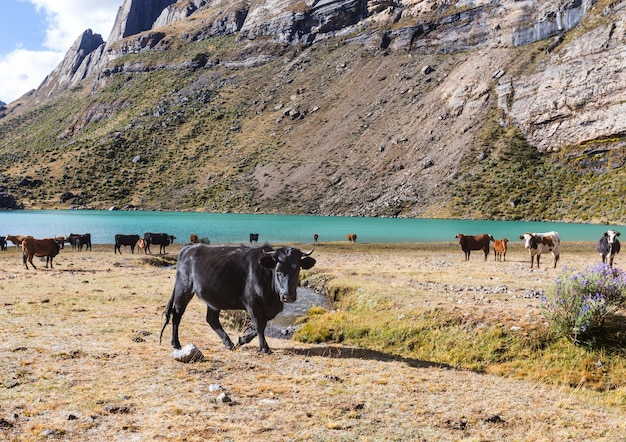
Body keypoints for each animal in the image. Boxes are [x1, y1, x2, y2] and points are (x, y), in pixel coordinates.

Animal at [160, 243, 314, 354]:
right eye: (278, 271)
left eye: (297, 269)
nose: (288, 296)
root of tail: (188, 248)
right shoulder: (252, 303)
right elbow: (259, 324)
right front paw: (264, 348)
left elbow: (262, 324)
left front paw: (242, 339)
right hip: (183, 289)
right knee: (177, 314)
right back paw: (176, 343)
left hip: (213, 299)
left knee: (211, 319)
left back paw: (228, 343)